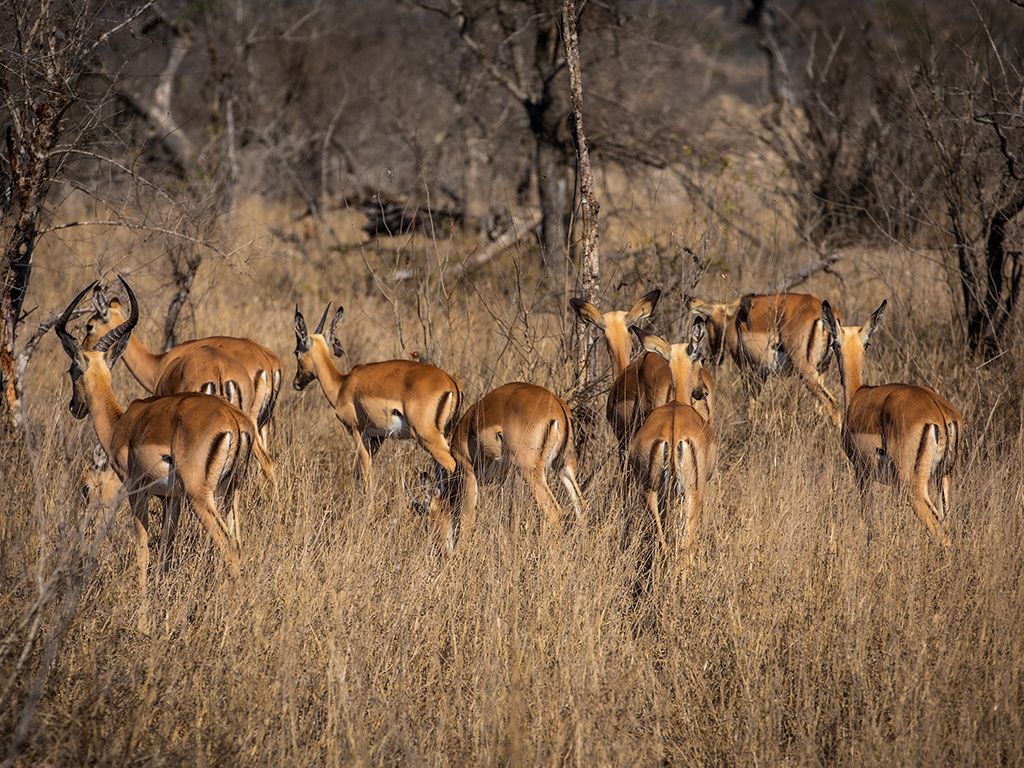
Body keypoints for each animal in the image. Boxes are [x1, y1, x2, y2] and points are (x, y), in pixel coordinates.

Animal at [293, 303, 461, 491]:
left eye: (296, 352)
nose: (297, 382)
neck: (342, 384)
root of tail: (450, 381)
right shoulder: (377, 438)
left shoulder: (357, 431)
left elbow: (365, 472)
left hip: (427, 436)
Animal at [424, 382, 584, 548]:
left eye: (431, 515)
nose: (437, 547)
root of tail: (557, 405)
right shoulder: (510, 476)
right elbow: (513, 517)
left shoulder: (468, 473)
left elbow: (468, 519)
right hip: (563, 467)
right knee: (581, 505)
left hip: (530, 471)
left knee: (555, 513)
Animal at [628, 316, 716, 571]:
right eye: (702, 358)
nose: (702, 391)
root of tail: (673, 432)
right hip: (693, 493)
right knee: (684, 548)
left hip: (650, 492)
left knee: (663, 546)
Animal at [686, 292, 840, 426]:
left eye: (707, 322)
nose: (714, 357)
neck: (734, 318)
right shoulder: (762, 371)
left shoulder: (746, 368)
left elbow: (750, 401)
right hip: (822, 370)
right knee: (821, 409)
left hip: (806, 371)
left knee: (833, 404)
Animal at [821, 300, 961, 546]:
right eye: (866, 343)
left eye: (834, 343)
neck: (858, 394)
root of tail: (939, 412)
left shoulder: (861, 472)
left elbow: (866, 519)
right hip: (943, 477)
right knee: (948, 523)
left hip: (912, 486)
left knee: (941, 532)